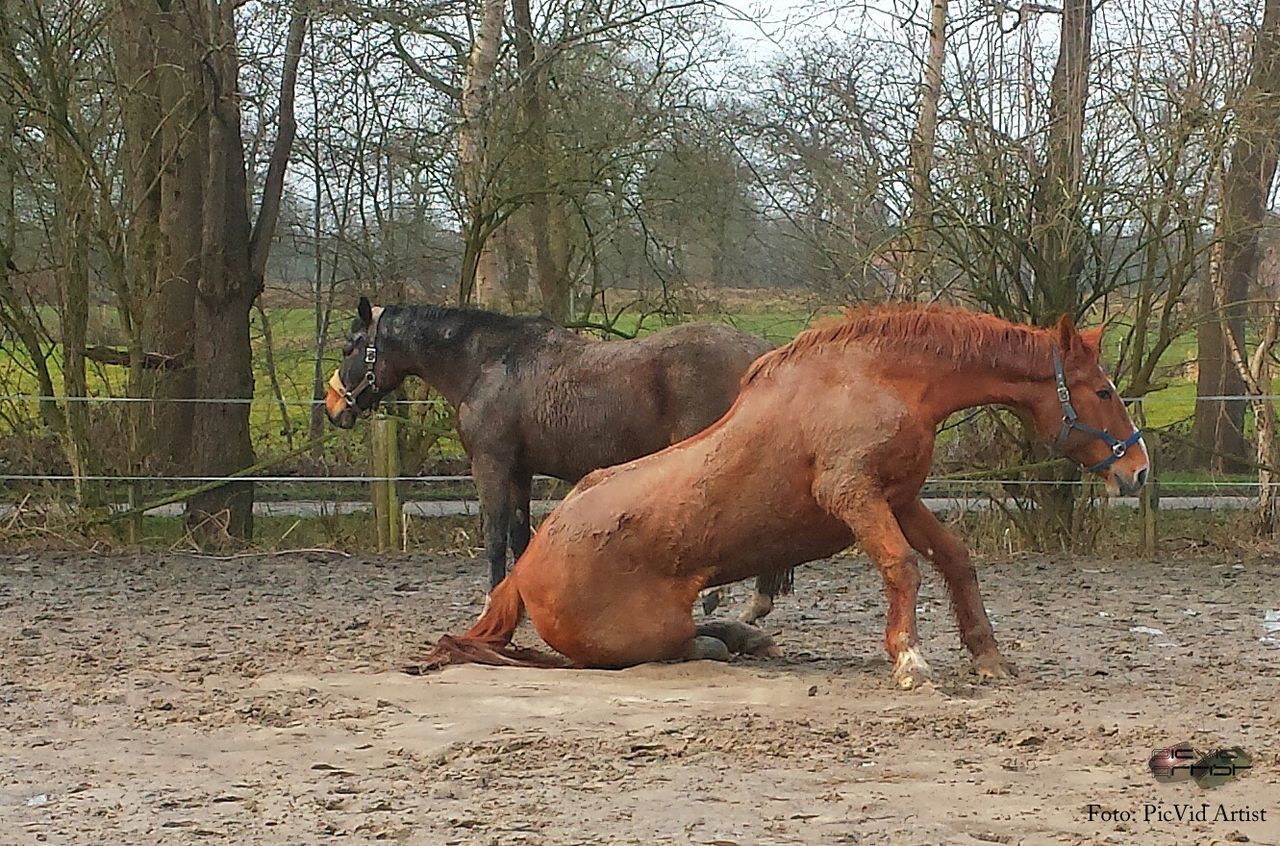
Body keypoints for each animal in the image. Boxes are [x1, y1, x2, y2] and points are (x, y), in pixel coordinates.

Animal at [419, 307, 1152, 691]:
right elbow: (903, 567)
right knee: (683, 646)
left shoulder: (900, 498)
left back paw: (751, 634)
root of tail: (526, 571)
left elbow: (954, 562)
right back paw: (736, 640)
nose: (1139, 472)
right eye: (1105, 391)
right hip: (648, 632)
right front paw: (909, 660)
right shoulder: (854, 494)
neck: (880, 378)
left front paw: (988, 656)